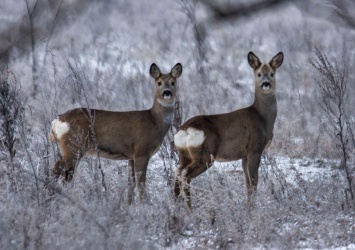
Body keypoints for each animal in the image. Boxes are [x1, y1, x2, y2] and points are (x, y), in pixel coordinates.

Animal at [50, 63, 182, 203]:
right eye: (159, 82)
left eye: (173, 82)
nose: (167, 92)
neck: (155, 121)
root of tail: (58, 120)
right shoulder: (142, 151)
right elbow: (141, 184)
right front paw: (145, 204)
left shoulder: (131, 156)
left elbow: (130, 184)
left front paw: (129, 206)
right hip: (73, 146)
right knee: (56, 169)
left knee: (65, 174)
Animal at [174, 51, 286, 210]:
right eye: (258, 74)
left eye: (271, 73)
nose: (266, 83)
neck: (262, 117)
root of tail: (185, 130)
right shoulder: (255, 149)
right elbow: (254, 181)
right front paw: (253, 209)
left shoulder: (244, 155)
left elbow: (247, 183)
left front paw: (248, 207)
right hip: (204, 155)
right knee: (185, 175)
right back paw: (190, 210)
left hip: (184, 155)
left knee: (177, 174)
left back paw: (176, 208)